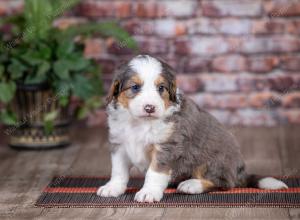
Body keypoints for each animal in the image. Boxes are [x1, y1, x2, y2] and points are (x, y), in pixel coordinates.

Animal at [96, 55, 288, 203]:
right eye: (135, 87)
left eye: (161, 88)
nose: (150, 108)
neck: (139, 123)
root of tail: (240, 172)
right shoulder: (119, 144)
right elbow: (118, 171)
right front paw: (112, 188)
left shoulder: (167, 146)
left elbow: (155, 172)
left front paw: (148, 192)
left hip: (214, 160)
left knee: (223, 183)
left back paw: (192, 184)